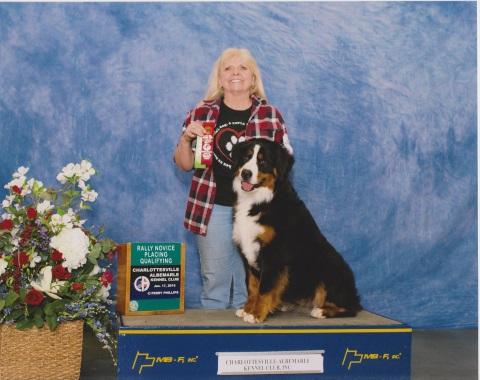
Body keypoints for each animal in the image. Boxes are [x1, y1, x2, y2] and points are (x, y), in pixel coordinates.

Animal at [232, 140, 360, 324]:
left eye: (262, 161)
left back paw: (321, 311)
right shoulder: (249, 253)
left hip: (328, 265)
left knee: (351, 308)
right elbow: (252, 286)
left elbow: (264, 288)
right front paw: (247, 309)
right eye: (246, 157)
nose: (246, 173)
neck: (260, 201)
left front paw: (256, 315)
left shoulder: (273, 254)